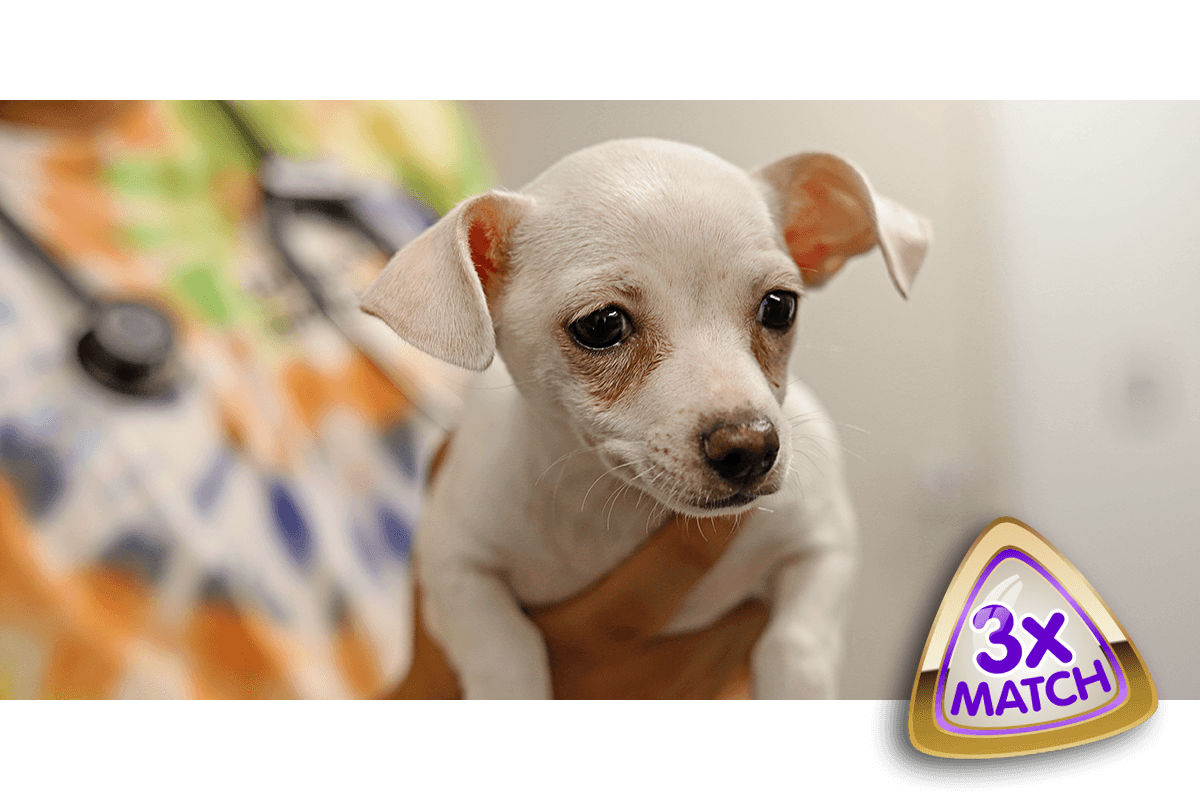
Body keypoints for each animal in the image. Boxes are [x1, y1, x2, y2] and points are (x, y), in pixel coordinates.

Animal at [360, 139, 931, 700]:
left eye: (779, 307)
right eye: (601, 324)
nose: (750, 446)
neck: (616, 513)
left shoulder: (824, 544)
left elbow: (796, 641)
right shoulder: (453, 568)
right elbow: (505, 649)